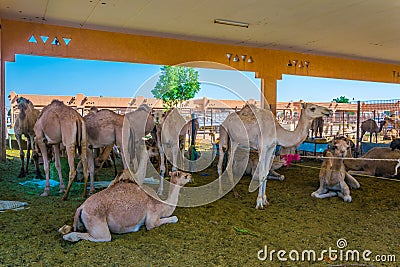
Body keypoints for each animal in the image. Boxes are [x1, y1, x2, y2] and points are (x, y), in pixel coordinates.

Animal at [58, 171, 191, 244]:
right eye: (184, 175)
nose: (190, 175)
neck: (162, 204)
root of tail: (82, 207)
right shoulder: (152, 218)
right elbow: (172, 218)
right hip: (98, 224)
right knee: (102, 237)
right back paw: (68, 237)